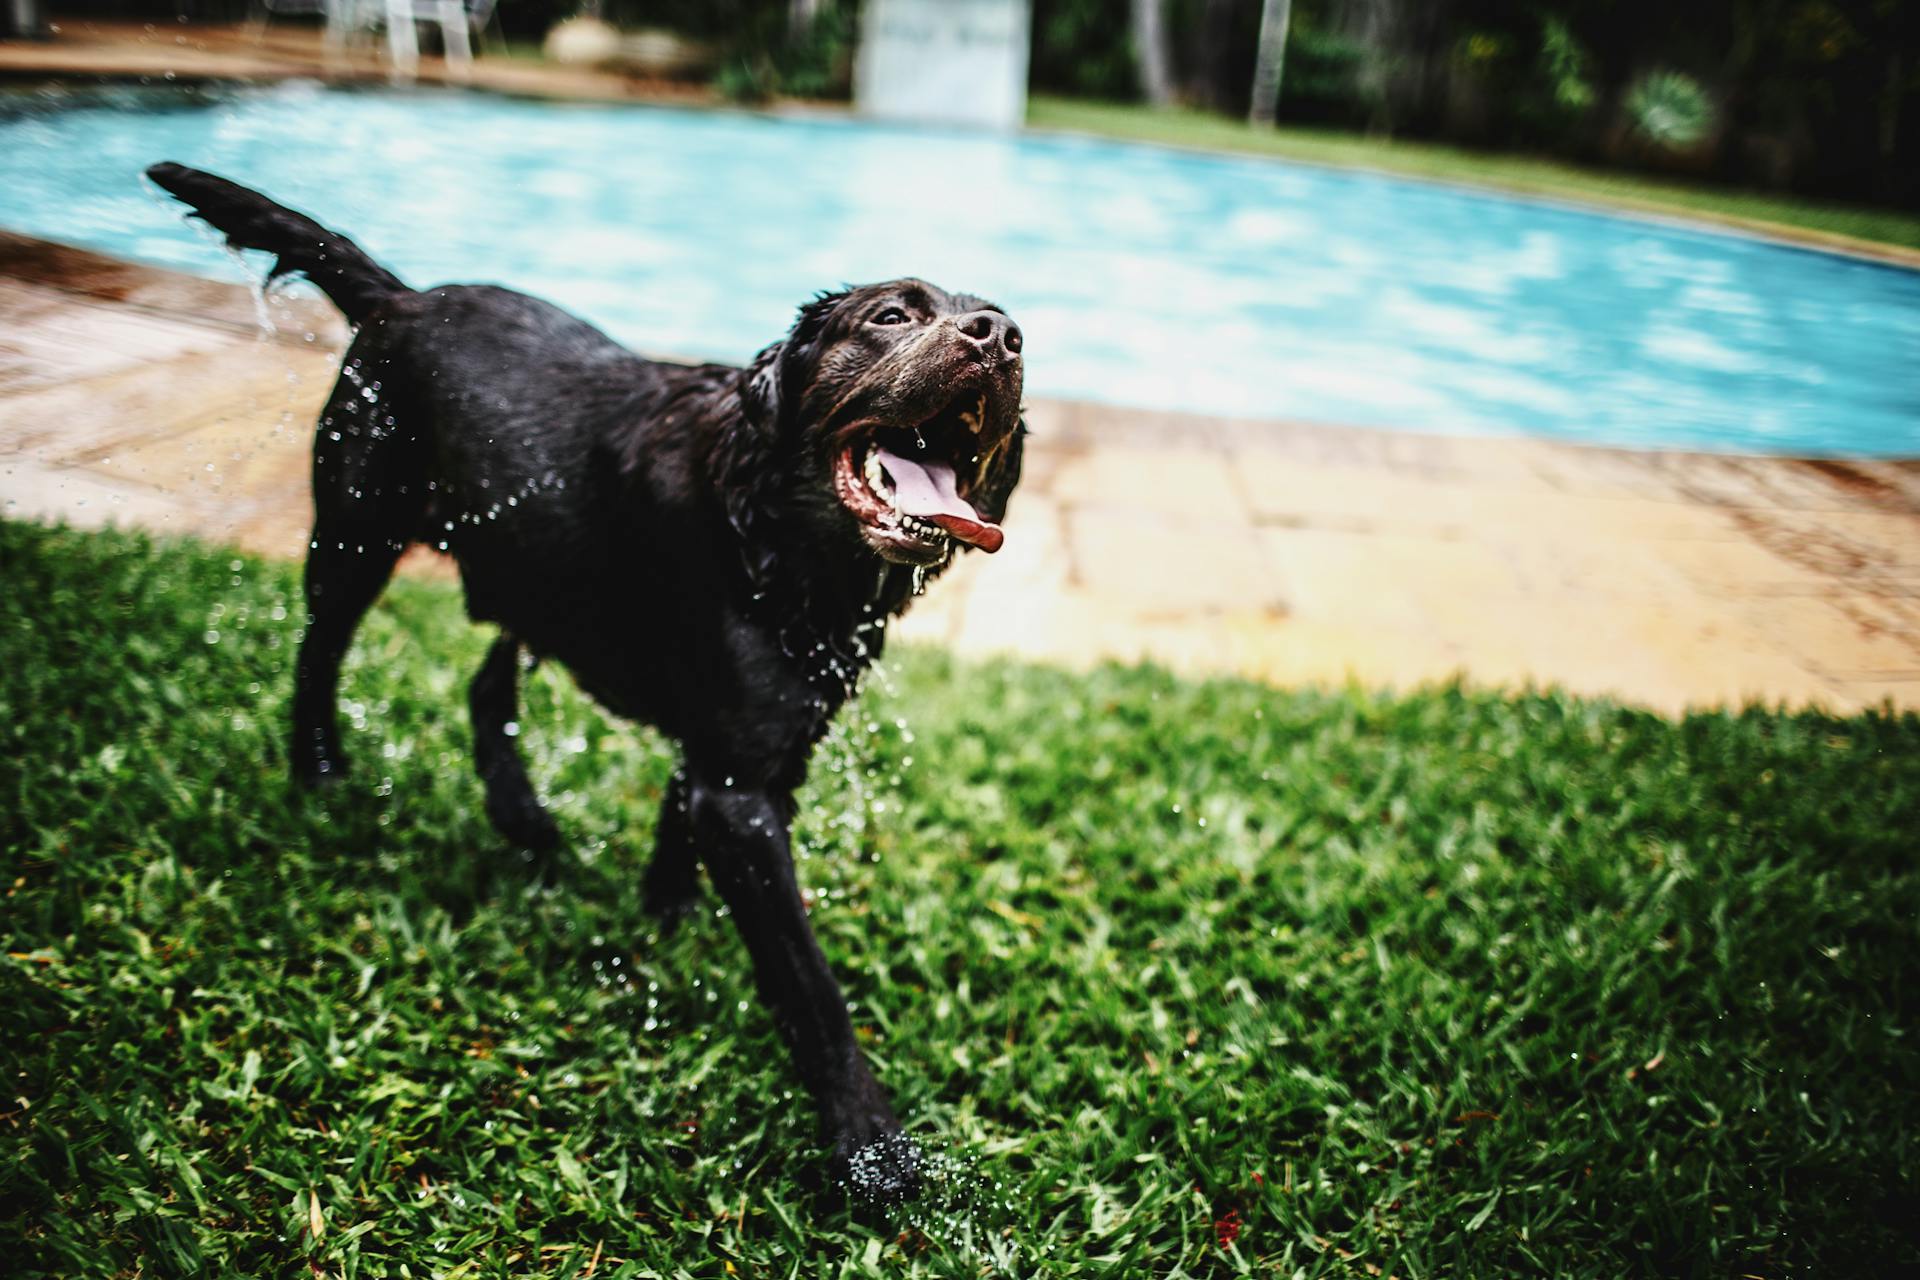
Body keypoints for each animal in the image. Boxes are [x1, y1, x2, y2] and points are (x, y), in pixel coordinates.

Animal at [149, 163, 1029, 1205]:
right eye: (893, 315)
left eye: (1009, 330)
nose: (1001, 337)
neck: (771, 536)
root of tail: (402, 298)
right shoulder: (741, 789)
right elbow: (812, 988)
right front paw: (871, 1146)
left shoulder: (741, 754)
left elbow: (677, 827)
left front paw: (663, 922)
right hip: (359, 530)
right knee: (319, 653)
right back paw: (320, 773)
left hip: (526, 562)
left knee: (486, 686)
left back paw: (524, 818)